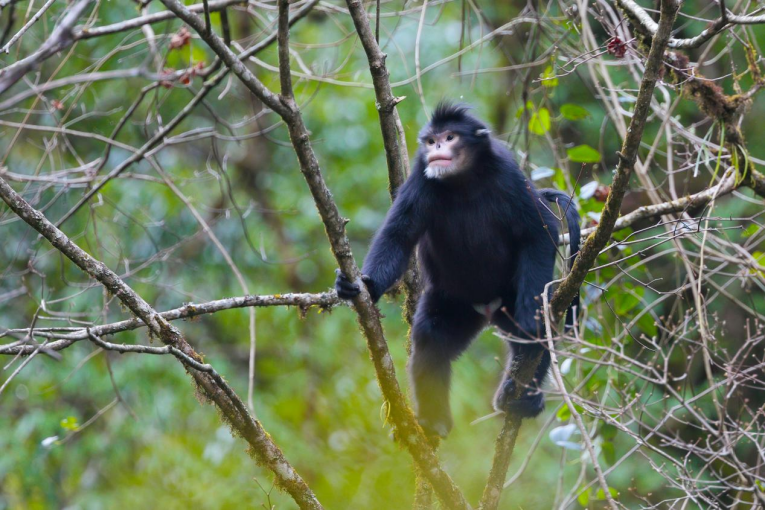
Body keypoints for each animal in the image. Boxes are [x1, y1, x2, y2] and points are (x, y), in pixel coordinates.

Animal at [336, 102, 584, 438]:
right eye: (431, 141)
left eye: (450, 137)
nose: (437, 148)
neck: (463, 181)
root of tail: (488, 306)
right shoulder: (422, 177)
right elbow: (398, 236)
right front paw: (364, 286)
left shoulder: (508, 174)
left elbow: (537, 232)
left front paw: (529, 318)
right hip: (455, 302)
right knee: (431, 336)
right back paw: (435, 421)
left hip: (507, 294)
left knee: (541, 328)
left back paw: (524, 399)